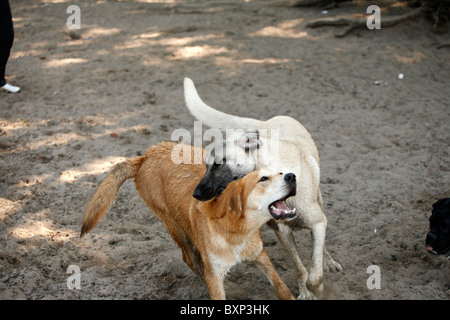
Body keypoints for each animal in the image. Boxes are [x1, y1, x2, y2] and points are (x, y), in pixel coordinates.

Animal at [81, 142, 298, 300]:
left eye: (278, 173)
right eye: (263, 180)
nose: (291, 176)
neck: (235, 232)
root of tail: (147, 155)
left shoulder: (261, 257)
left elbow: (282, 288)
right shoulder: (214, 273)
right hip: (175, 227)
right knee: (190, 259)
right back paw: (232, 288)